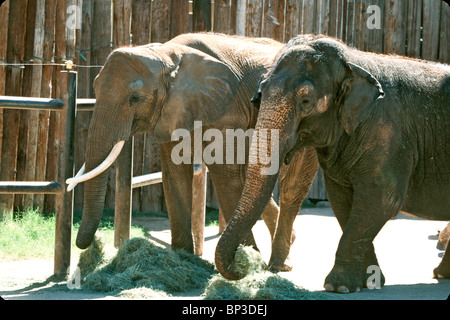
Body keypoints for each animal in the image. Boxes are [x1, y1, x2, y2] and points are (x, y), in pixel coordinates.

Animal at [67, 33, 320, 272]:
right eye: (95, 89)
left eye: (135, 98)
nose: (86, 245)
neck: (167, 54)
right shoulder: (173, 110)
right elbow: (174, 175)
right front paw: (183, 257)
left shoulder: (227, 111)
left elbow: (227, 177)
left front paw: (245, 264)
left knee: (290, 188)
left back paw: (279, 265)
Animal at [215, 34, 450, 292]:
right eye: (259, 96)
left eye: (306, 100)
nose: (241, 264)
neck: (354, 61)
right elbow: (341, 200)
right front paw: (367, 282)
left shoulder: (388, 136)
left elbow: (382, 200)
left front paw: (338, 287)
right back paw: (441, 274)